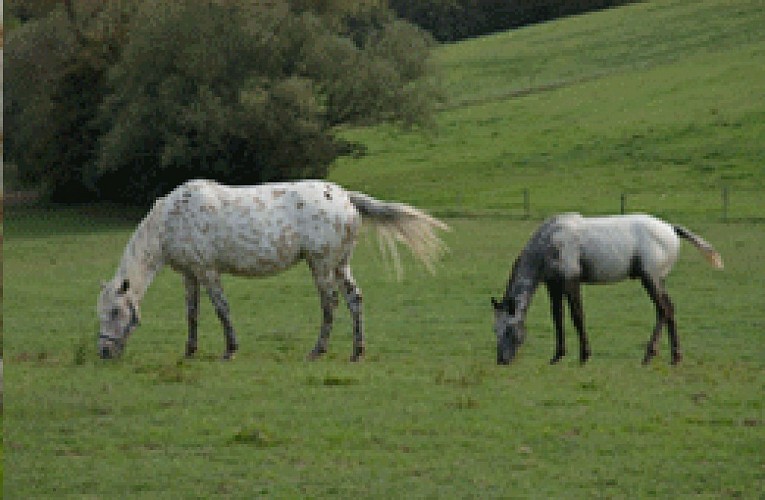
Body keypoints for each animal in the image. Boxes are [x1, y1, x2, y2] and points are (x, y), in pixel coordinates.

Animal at [97, 180, 448, 360]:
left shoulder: (208, 271)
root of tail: (344, 197)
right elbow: (192, 313)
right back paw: (356, 352)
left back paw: (318, 351)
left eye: (115, 311)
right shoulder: (189, 274)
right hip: (340, 265)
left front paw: (230, 350)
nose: (103, 351)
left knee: (330, 304)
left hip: (321, 265)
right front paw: (190, 351)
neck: (172, 218)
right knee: (354, 300)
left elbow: (221, 309)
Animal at [490, 213, 724, 366]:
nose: (502, 360)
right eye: (495, 329)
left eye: (509, 329)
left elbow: (577, 316)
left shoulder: (571, 282)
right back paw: (674, 356)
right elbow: (558, 318)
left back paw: (650, 356)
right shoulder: (554, 286)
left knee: (663, 309)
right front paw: (557, 356)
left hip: (650, 279)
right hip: (659, 281)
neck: (551, 240)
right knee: (667, 310)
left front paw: (584, 356)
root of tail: (671, 228)